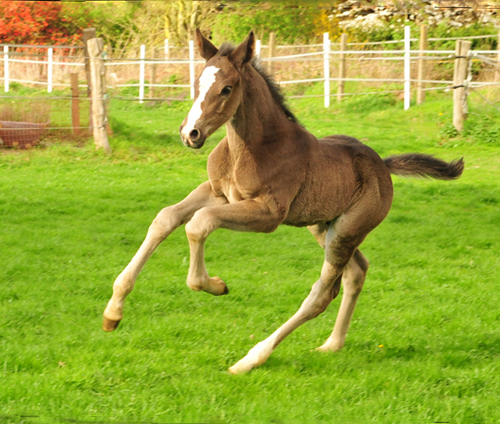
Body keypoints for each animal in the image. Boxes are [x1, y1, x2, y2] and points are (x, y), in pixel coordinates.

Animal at [102, 30, 464, 374]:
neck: (252, 147)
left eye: (227, 89)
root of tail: (383, 166)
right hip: (324, 227)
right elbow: (166, 218)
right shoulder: (217, 191)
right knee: (356, 272)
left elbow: (200, 222)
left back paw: (250, 359)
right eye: (197, 83)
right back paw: (332, 344)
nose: (190, 134)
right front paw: (113, 311)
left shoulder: (268, 213)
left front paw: (214, 285)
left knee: (322, 294)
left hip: (346, 231)